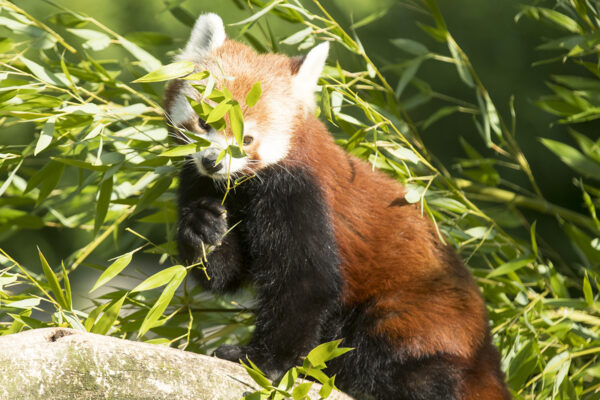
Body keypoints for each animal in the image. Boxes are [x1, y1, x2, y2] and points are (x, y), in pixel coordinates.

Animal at [164, 12, 510, 400]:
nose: (212, 162)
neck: (240, 187)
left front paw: (263, 361)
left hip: (417, 314)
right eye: (204, 122)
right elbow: (227, 271)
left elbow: (305, 282)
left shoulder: (300, 194)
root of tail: (485, 355)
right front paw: (203, 227)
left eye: (246, 139)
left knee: (387, 354)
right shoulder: (198, 180)